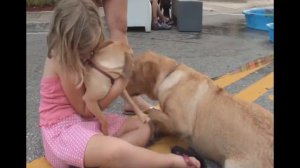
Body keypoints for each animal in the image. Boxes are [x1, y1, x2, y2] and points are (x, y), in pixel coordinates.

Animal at [125, 51, 274, 168]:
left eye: (131, 73)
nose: (122, 88)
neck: (169, 75)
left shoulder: (181, 124)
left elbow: (155, 113)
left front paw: (148, 116)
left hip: (233, 164)